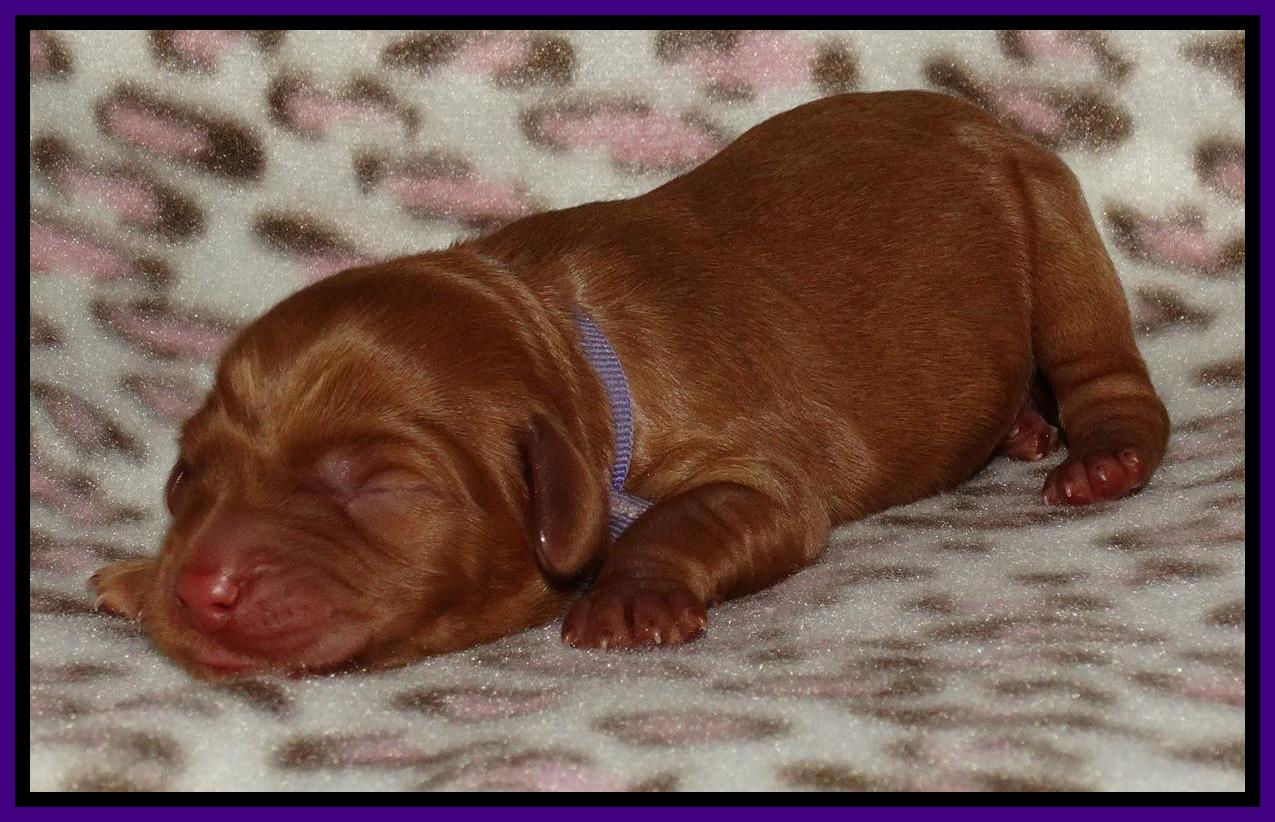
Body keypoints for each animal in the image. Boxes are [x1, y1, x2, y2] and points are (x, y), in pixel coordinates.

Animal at [90, 91, 1169, 677]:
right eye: (185, 480)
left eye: (378, 488)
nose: (200, 585)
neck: (565, 346)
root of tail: (976, 112)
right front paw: (138, 576)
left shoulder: (757, 473)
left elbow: (685, 517)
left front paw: (628, 598)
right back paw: (1022, 428)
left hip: (1053, 226)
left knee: (1108, 373)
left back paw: (1098, 458)